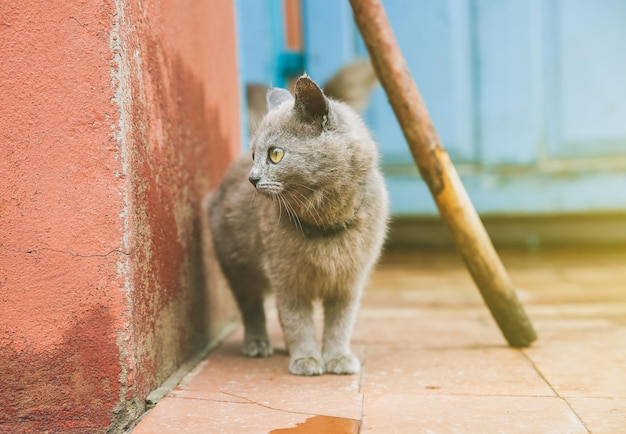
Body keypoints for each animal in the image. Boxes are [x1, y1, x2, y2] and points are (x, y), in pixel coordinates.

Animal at [207, 73, 388, 374]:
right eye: (254, 155)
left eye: (275, 154)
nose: (252, 178)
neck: (324, 221)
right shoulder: (287, 277)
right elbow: (297, 321)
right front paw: (306, 359)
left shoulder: (350, 279)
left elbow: (340, 323)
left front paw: (337, 357)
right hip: (237, 264)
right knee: (251, 306)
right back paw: (257, 344)